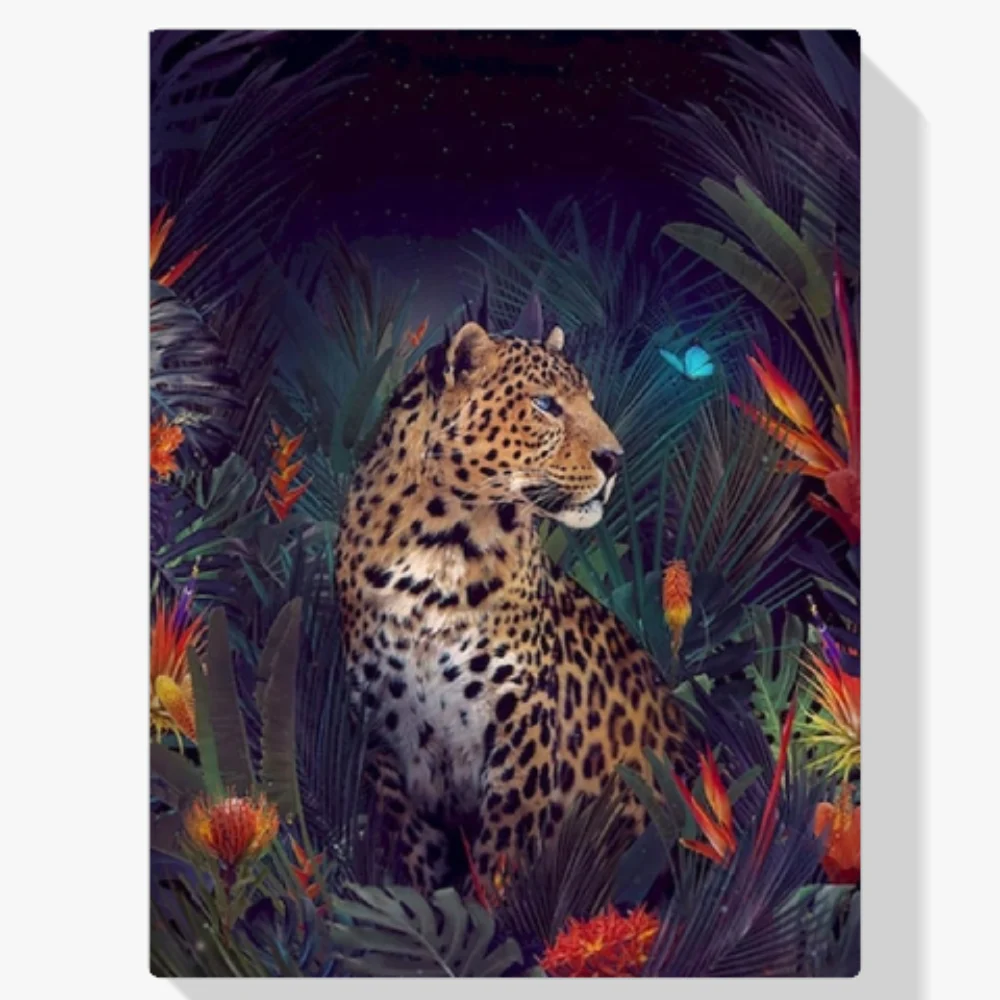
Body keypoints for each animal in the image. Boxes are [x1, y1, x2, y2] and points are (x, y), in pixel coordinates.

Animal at [334, 320, 692, 892]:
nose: (615, 459)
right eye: (545, 404)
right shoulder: (383, 731)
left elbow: (504, 847)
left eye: (589, 402)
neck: (440, 545)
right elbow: (415, 851)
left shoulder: (522, 717)